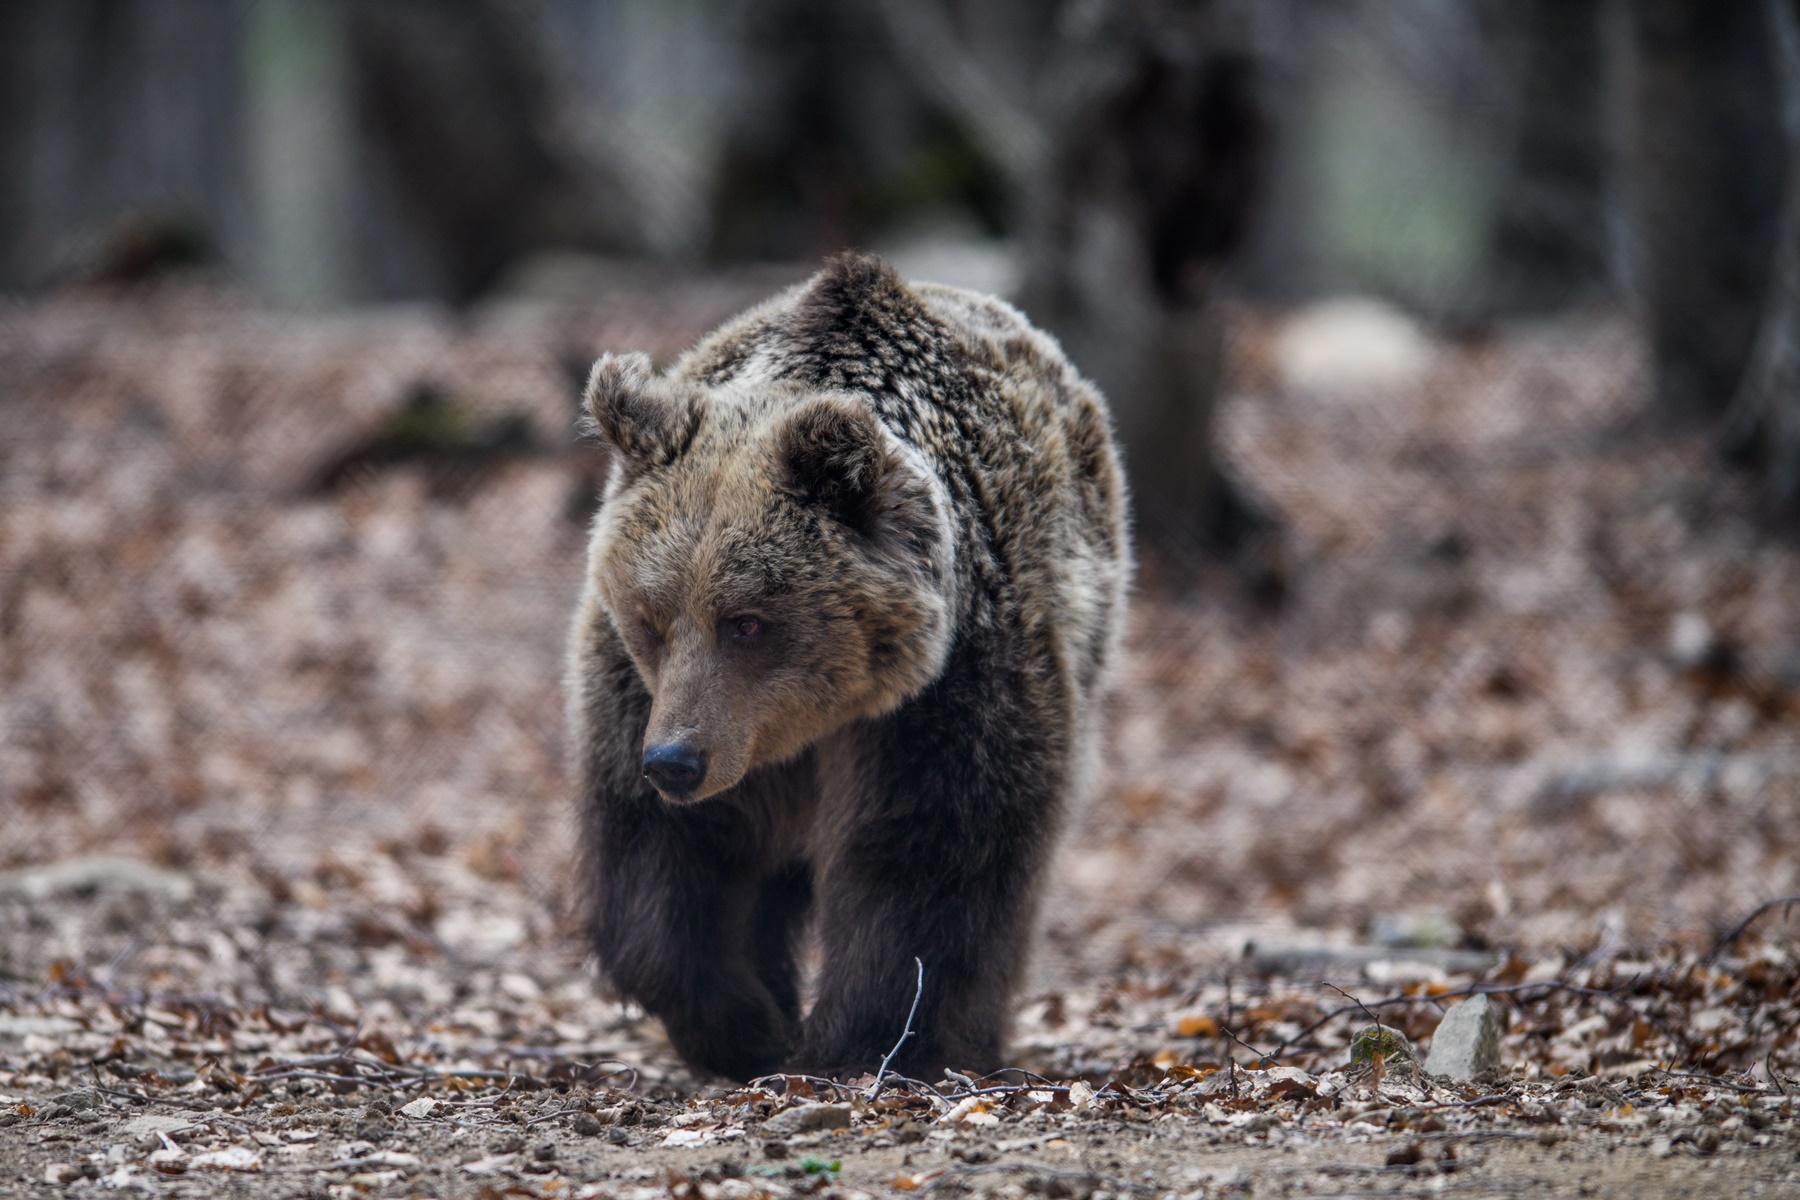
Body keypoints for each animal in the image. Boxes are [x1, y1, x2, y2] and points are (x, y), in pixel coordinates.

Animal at [565, 251, 1123, 1079]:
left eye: (747, 622)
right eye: (651, 618)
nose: (674, 762)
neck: (812, 721)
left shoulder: (949, 687)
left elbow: (926, 855)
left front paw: (860, 1039)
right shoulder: (648, 699)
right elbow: (665, 858)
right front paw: (745, 1025)